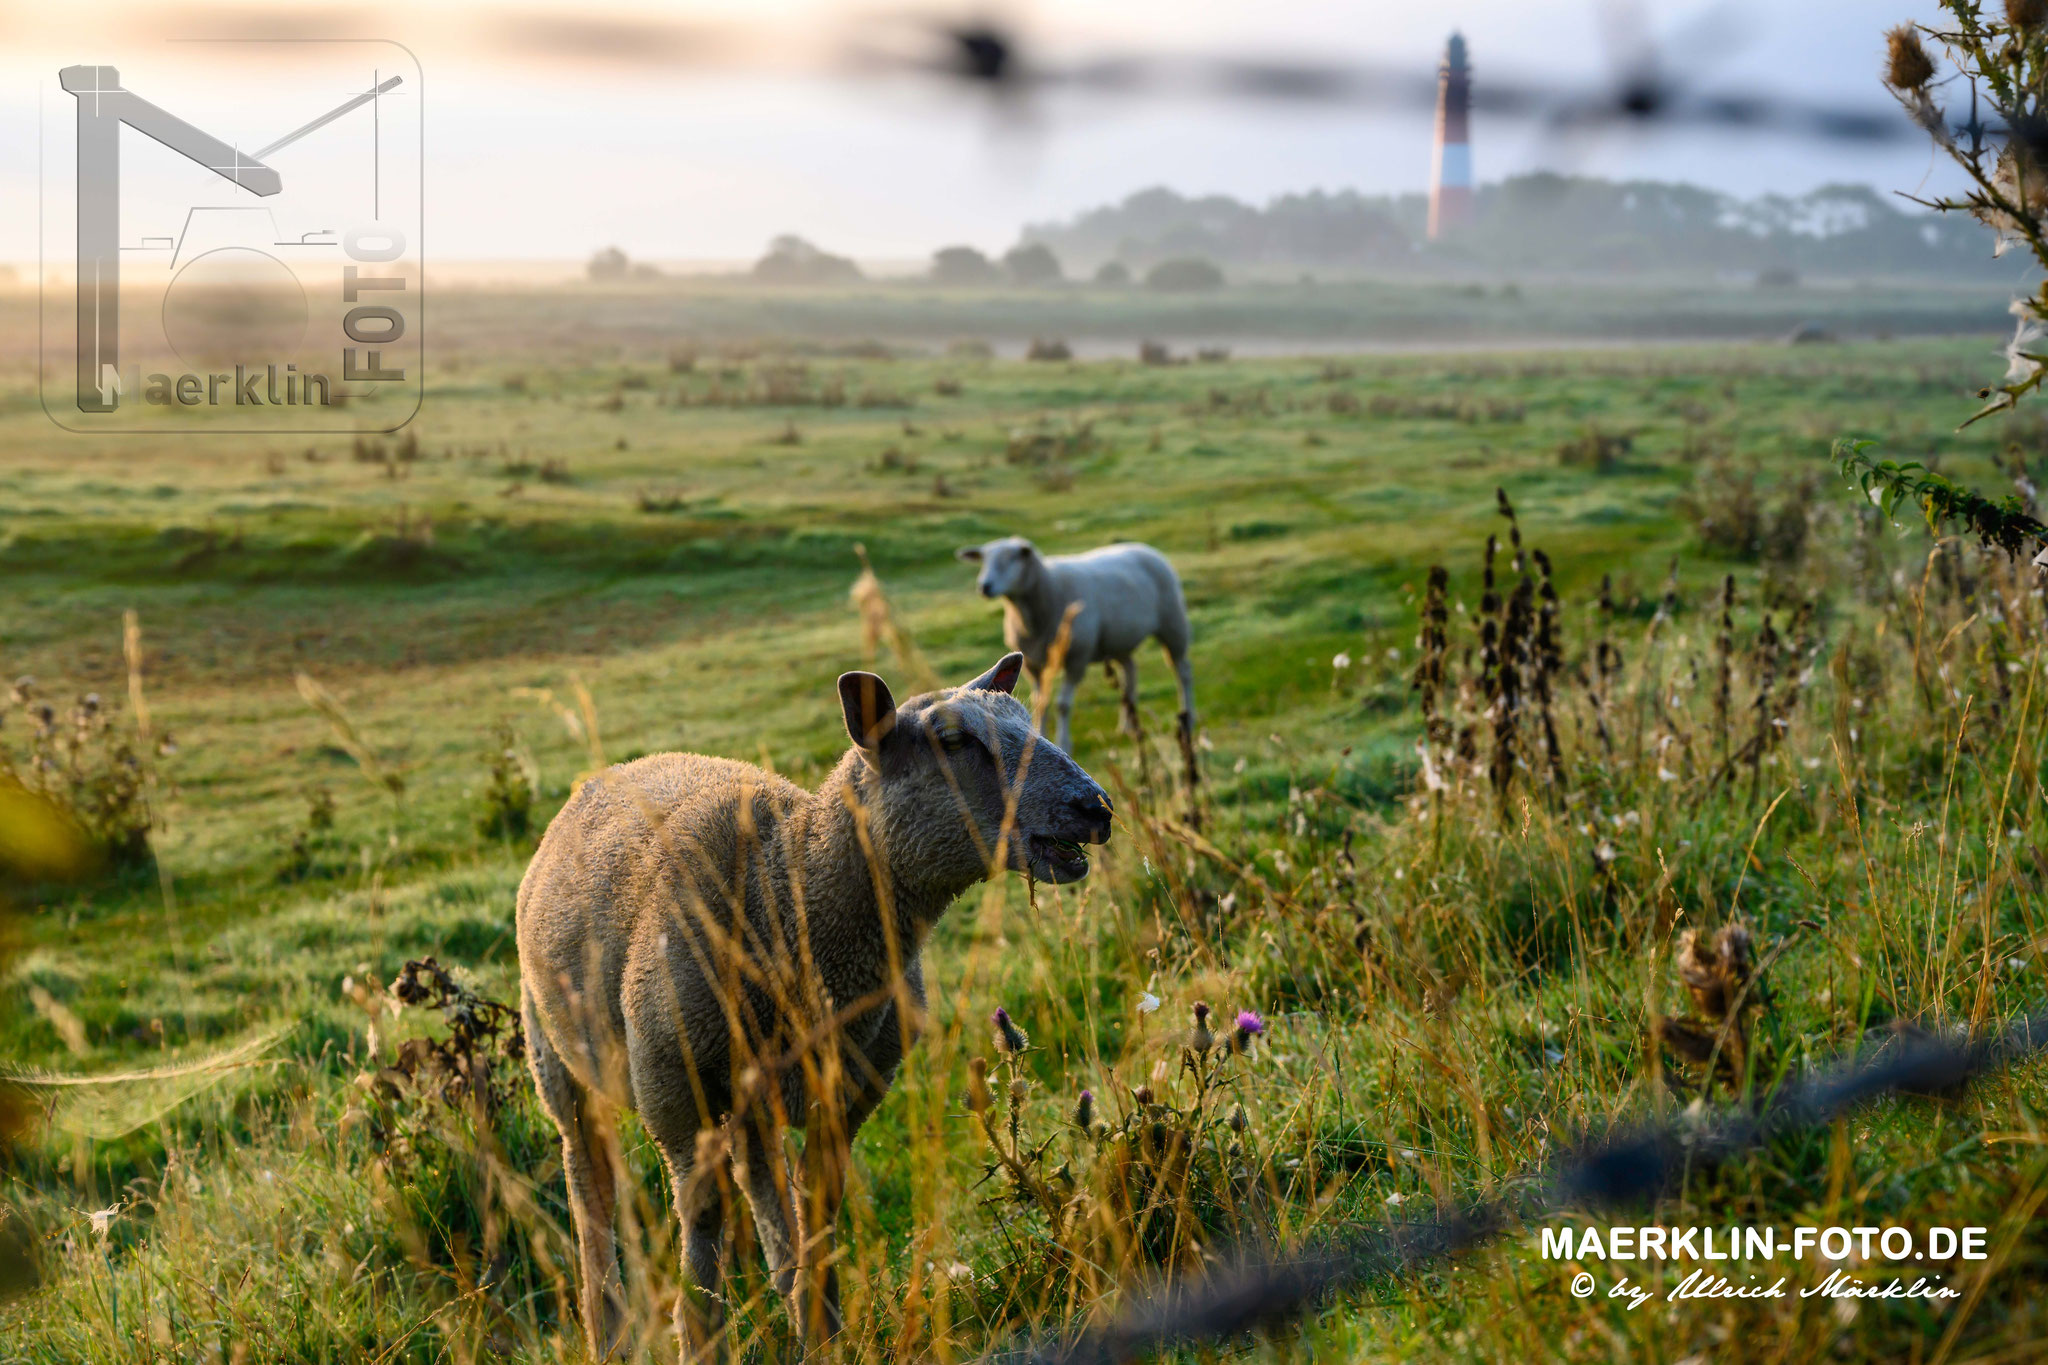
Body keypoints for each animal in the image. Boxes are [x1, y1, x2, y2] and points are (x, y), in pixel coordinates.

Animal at [516, 652, 1113, 1359]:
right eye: (952, 740)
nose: (1095, 806)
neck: (788, 895)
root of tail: (604, 776)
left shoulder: (854, 1083)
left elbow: (819, 1199)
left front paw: (821, 1330)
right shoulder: (673, 1088)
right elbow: (703, 1213)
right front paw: (702, 1335)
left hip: (750, 1087)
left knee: (758, 1174)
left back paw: (781, 1282)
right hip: (554, 1054)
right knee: (590, 1185)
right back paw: (606, 1328)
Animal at [956, 536, 1196, 761]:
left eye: (1012, 558)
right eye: (984, 560)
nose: (984, 586)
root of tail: (1142, 546)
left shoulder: (1077, 657)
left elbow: (1062, 705)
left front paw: (1063, 743)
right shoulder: (1033, 663)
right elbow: (1040, 702)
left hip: (1173, 623)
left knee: (1182, 671)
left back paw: (1189, 717)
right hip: (1120, 639)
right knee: (1130, 670)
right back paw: (1127, 725)